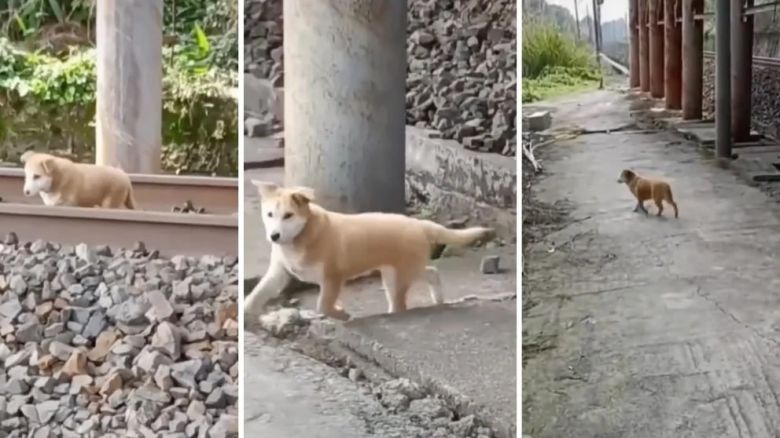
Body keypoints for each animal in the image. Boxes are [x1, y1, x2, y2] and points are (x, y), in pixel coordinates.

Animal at [245, 180, 494, 320]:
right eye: (269, 214)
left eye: (288, 215)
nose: (274, 236)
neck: (300, 237)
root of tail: (418, 224)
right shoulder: (279, 272)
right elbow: (258, 292)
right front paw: (246, 312)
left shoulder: (333, 276)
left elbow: (322, 305)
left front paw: (341, 314)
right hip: (397, 272)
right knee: (431, 272)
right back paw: (438, 299)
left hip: (400, 275)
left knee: (402, 302)